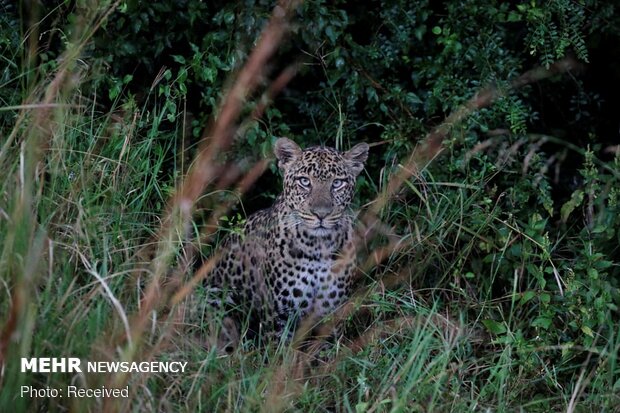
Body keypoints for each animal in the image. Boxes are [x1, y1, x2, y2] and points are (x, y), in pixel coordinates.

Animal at [202, 138, 368, 350]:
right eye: (304, 181)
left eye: (337, 183)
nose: (321, 214)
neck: (318, 248)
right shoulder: (279, 318)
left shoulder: (331, 316)